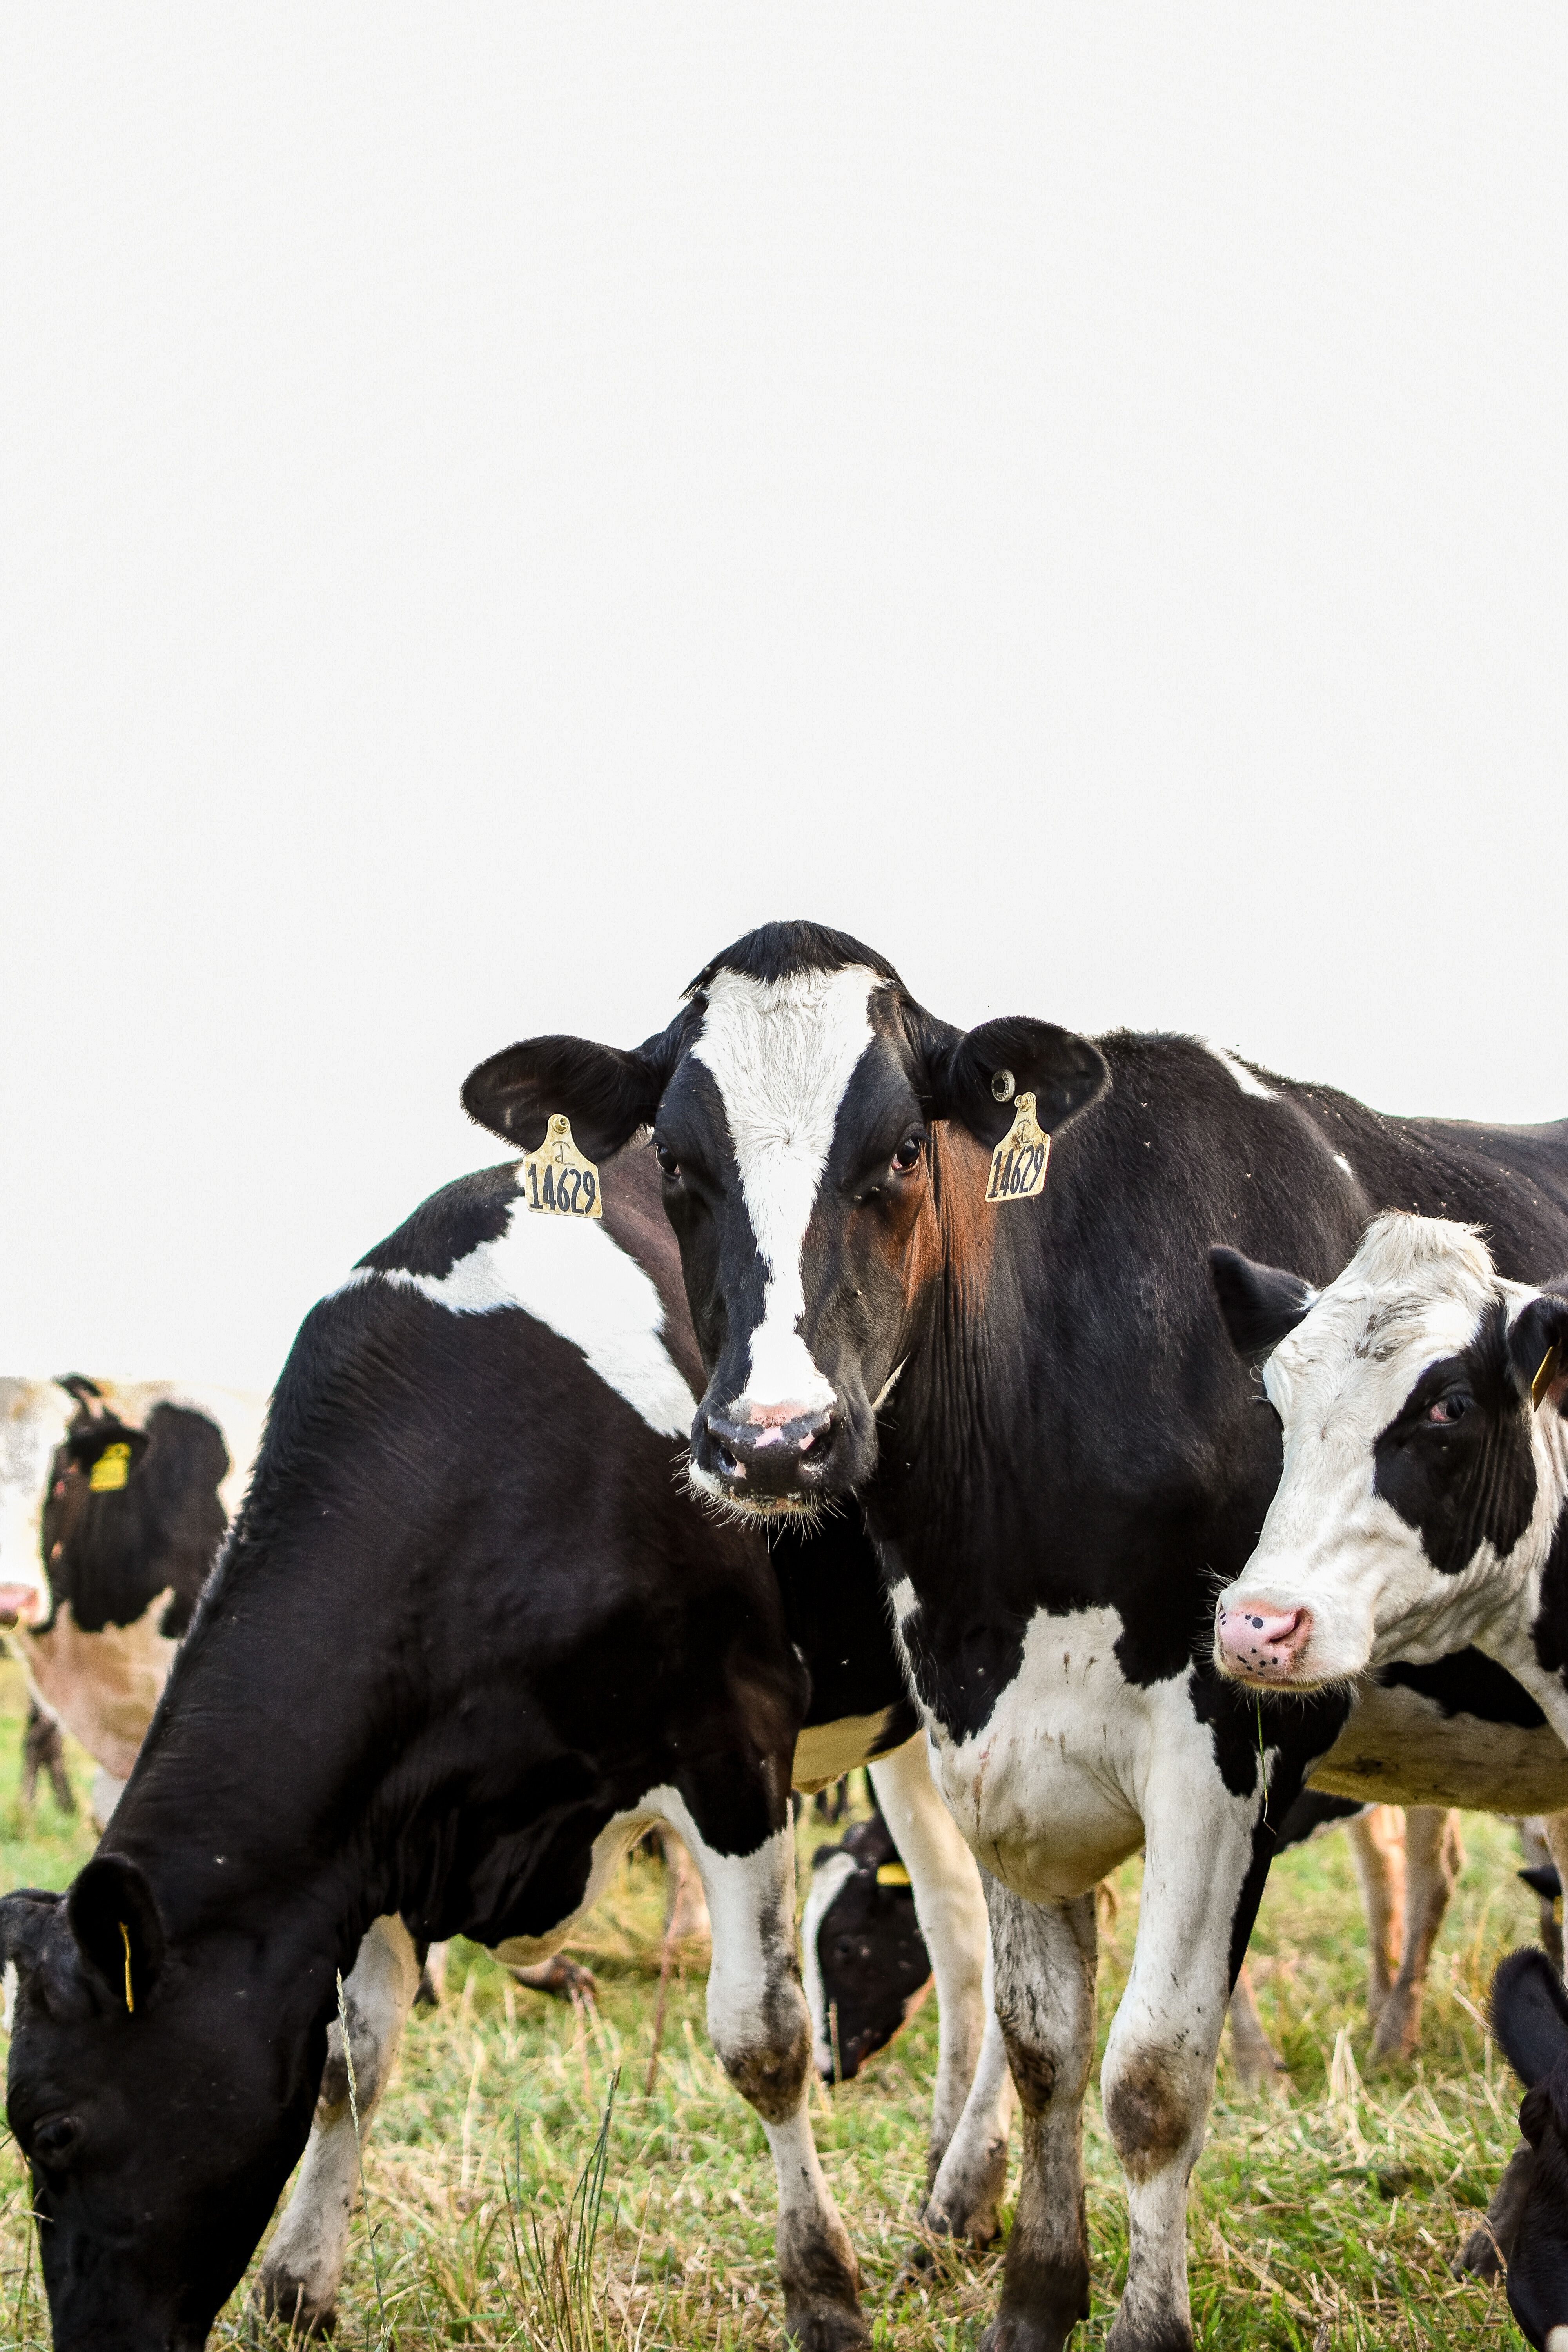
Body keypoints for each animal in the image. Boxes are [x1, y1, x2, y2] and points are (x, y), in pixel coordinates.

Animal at [0, 1144, 1009, 2352]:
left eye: (54, 2131)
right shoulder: (384, 1817)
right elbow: (348, 2061)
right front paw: (298, 2286)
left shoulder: (733, 1742)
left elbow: (762, 2043)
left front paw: (823, 2294)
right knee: (960, 1931)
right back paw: (951, 2197)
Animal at [462, 918, 1568, 2350]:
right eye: (682, 1165)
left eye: (899, 1151)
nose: (773, 1444)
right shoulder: (988, 1734)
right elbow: (1044, 2043)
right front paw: (1035, 2296)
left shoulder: (1233, 1742)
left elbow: (1152, 2075)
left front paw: (1143, 2324)